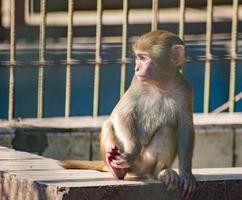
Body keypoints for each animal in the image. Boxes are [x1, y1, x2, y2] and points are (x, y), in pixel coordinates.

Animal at [60, 30, 197, 200]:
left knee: (167, 130)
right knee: (108, 124)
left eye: (143, 58)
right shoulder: (137, 82)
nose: (137, 68)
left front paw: (186, 174)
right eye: (138, 57)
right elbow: (121, 114)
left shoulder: (185, 90)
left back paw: (163, 173)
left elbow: (186, 128)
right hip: (126, 161)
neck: (160, 85)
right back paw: (117, 170)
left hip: (146, 163)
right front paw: (132, 152)